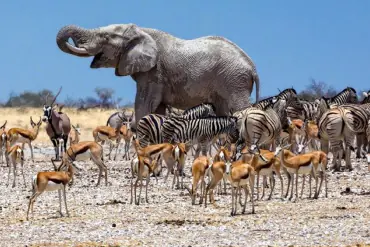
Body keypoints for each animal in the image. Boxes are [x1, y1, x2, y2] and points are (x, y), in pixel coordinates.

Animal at [57, 24, 260, 130]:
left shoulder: (154, 73)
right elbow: (158, 109)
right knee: (223, 112)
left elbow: (144, 104)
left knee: (239, 109)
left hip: (234, 81)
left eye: (105, 37)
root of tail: (252, 67)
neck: (140, 31)